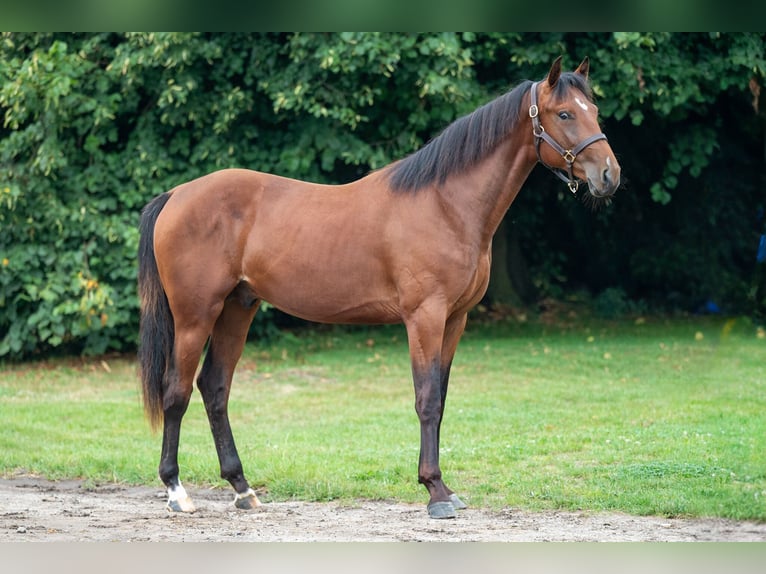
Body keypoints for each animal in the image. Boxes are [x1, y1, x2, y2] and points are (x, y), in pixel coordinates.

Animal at [136, 56, 616, 520]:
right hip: (196, 316)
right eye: (565, 113)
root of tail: (175, 195)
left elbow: (441, 398)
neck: (445, 205)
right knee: (176, 391)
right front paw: (435, 492)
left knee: (215, 388)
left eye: (594, 110)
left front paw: (446, 488)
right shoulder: (424, 317)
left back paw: (243, 489)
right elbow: (427, 399)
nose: (609, 175)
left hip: (238, 308)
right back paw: (177, 492)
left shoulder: (455, 319)